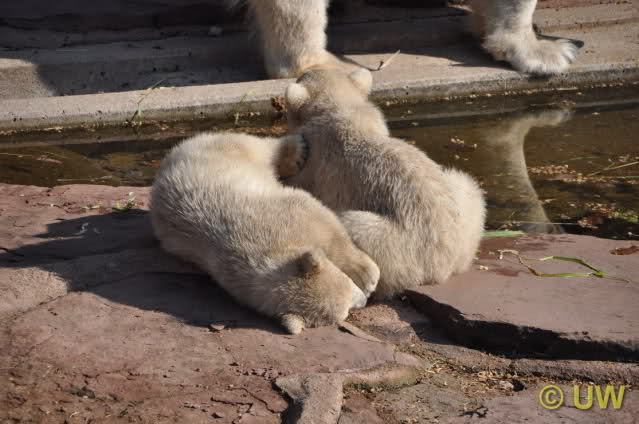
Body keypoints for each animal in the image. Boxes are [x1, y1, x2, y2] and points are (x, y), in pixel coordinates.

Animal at [151, 131, 380, 334]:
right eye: (346, 311)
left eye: (348, 284)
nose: (363, 301)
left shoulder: (282, 214)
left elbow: (321, 218)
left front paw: (367, 275)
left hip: (221, 153)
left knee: (257, 147)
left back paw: (297, 150)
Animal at [282, 67, 486, 299]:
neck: (342, 110)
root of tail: (442, 266)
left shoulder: (314, 159)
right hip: (463, 213)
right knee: (466, 183)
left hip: (392, 246)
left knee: (347, 223)